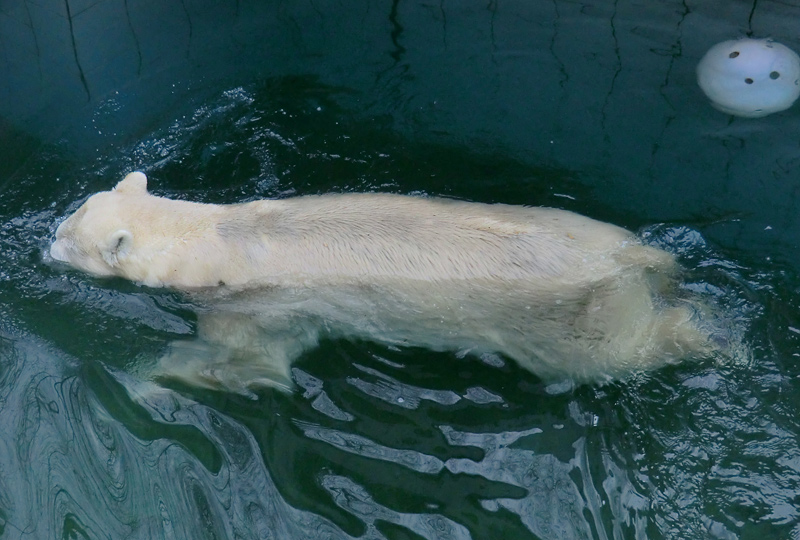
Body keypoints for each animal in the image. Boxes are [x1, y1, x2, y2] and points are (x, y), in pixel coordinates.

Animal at [50, 172, 720, 392]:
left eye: (67, 234)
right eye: (72, 214)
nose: (43, 240)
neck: (213, 235)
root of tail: (633, 257)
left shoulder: (254, 303)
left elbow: (248, 360)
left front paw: (143, 383)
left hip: (571, 319)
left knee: (619, 351)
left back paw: (721, 342)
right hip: (584, 228)